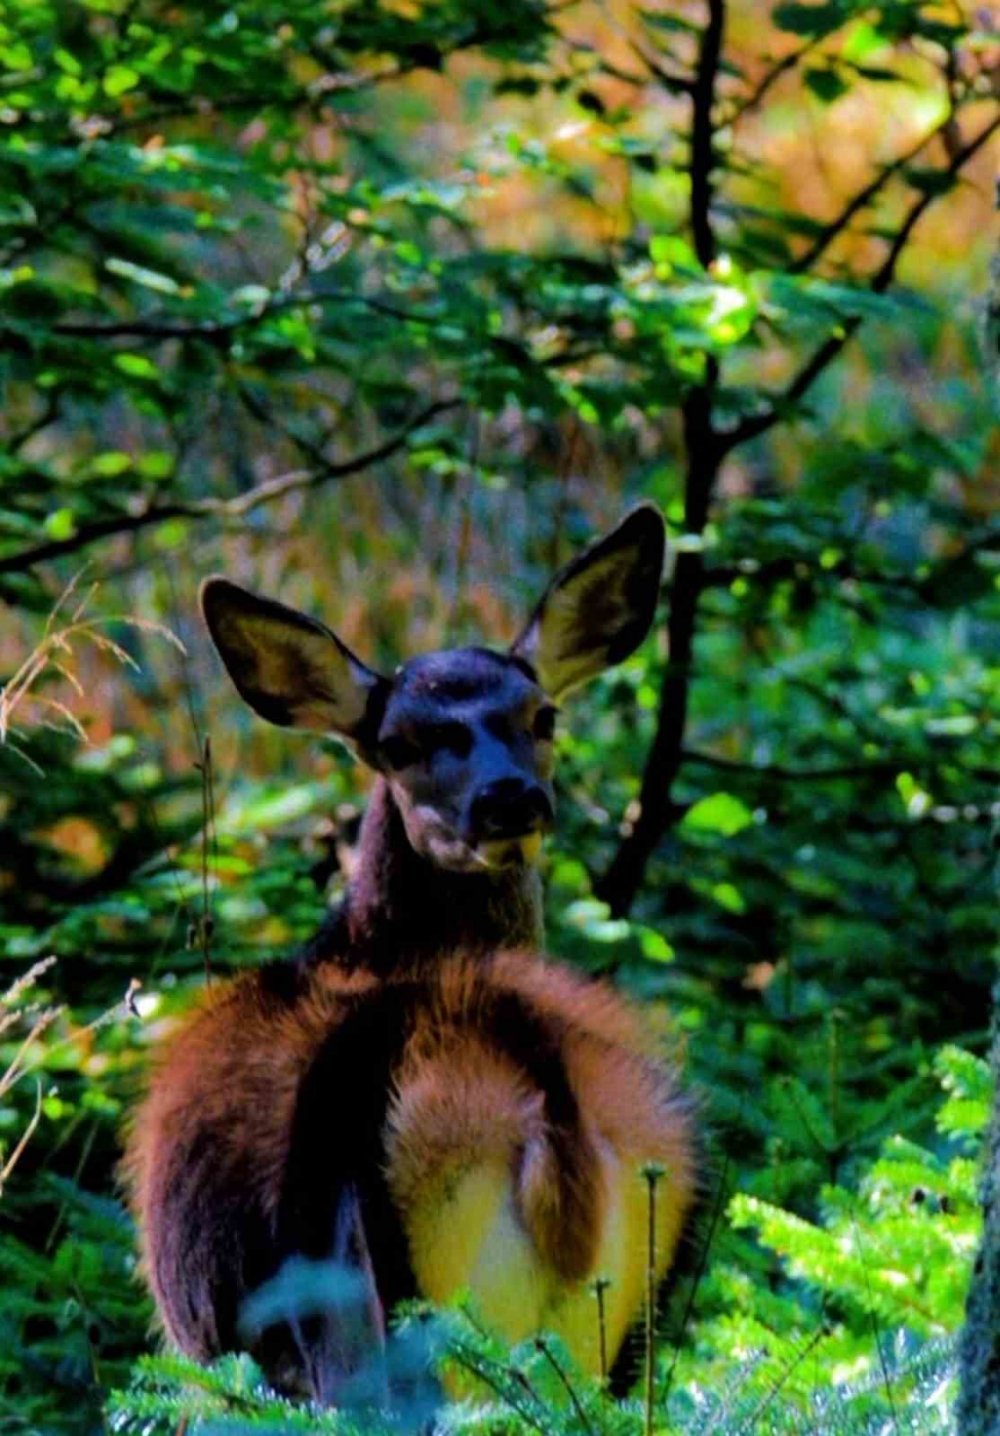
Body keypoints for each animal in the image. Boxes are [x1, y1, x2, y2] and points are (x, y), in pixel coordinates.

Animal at [125, 508, 695, 1413]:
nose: (508, 798)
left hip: (358, 1324)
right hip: (624, 1323)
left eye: (543, 717)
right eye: (396, 743)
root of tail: (547, 1101)